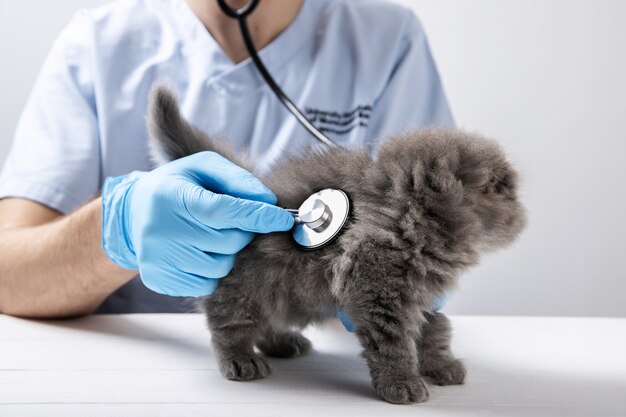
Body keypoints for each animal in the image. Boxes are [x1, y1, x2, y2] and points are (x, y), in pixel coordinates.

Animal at [147, 85, 528, 404]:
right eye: (503, 189)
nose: (520, 206)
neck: (409, 213)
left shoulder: (423, 294)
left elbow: (435, 329)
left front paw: (440, 365)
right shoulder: (377, 288)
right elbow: (393, 342)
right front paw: (401, 382)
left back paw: (282, 342)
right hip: (241, 287)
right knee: (228, 323)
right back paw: (240, 360)